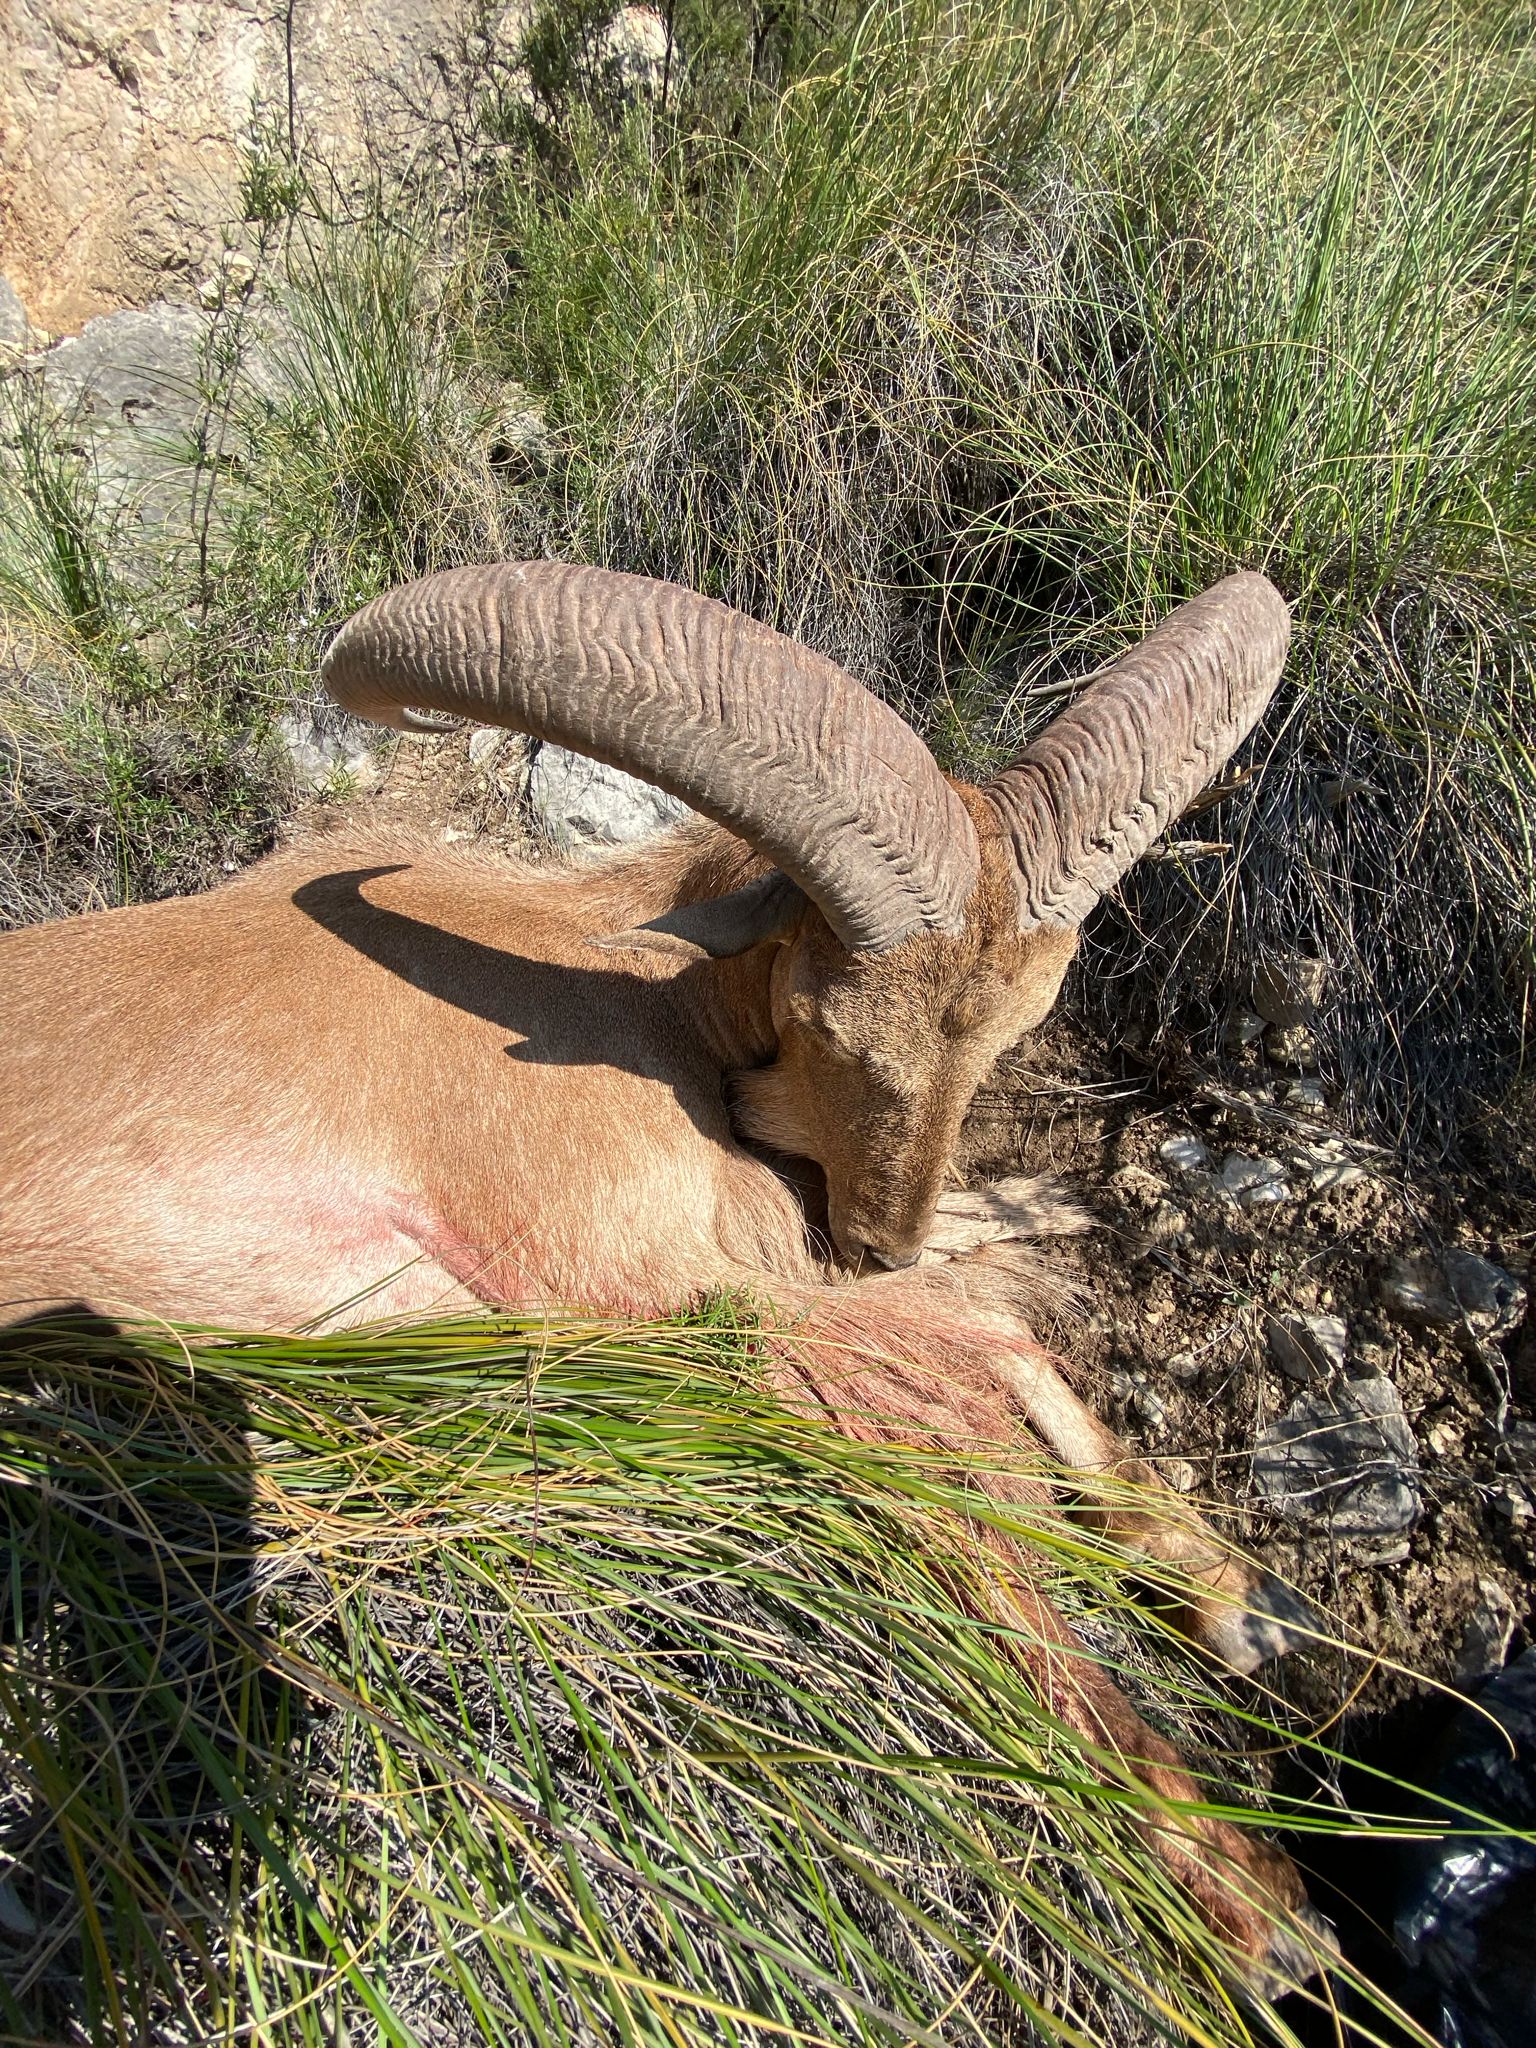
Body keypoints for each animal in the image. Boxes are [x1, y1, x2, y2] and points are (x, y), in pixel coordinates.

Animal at [0, 561, 1325, 1977]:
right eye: (826, 1023)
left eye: (1020, 1027)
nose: (878, 1228)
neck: (629, 985)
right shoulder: (651, 1272)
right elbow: (954, 1377)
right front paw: (1244, 1882)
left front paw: (1237, 1588)